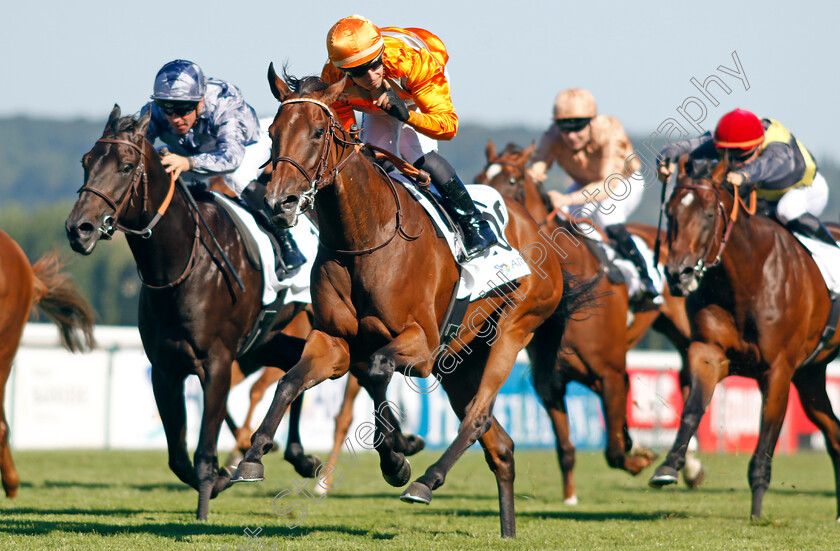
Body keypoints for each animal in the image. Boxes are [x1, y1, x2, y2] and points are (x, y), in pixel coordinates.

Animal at [65, 104, 320, 520]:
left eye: (126, 166)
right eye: (87, 162)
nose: (79, 228)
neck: (182, 265)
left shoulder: (217, 362)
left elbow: (202, 451)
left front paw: (205, 506)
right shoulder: (165, 368)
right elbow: (178, 457)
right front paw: (221, 477)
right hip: (265, 339)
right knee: (295, 367)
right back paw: (301, 456)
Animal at [476, 141, 700, 504]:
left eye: (511, 181)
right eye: (481, 178)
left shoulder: (610, 374)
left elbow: (615, 450)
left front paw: (640, 459)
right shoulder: (550, 384)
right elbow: (566, 448)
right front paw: (570, 497)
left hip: (686, 328)